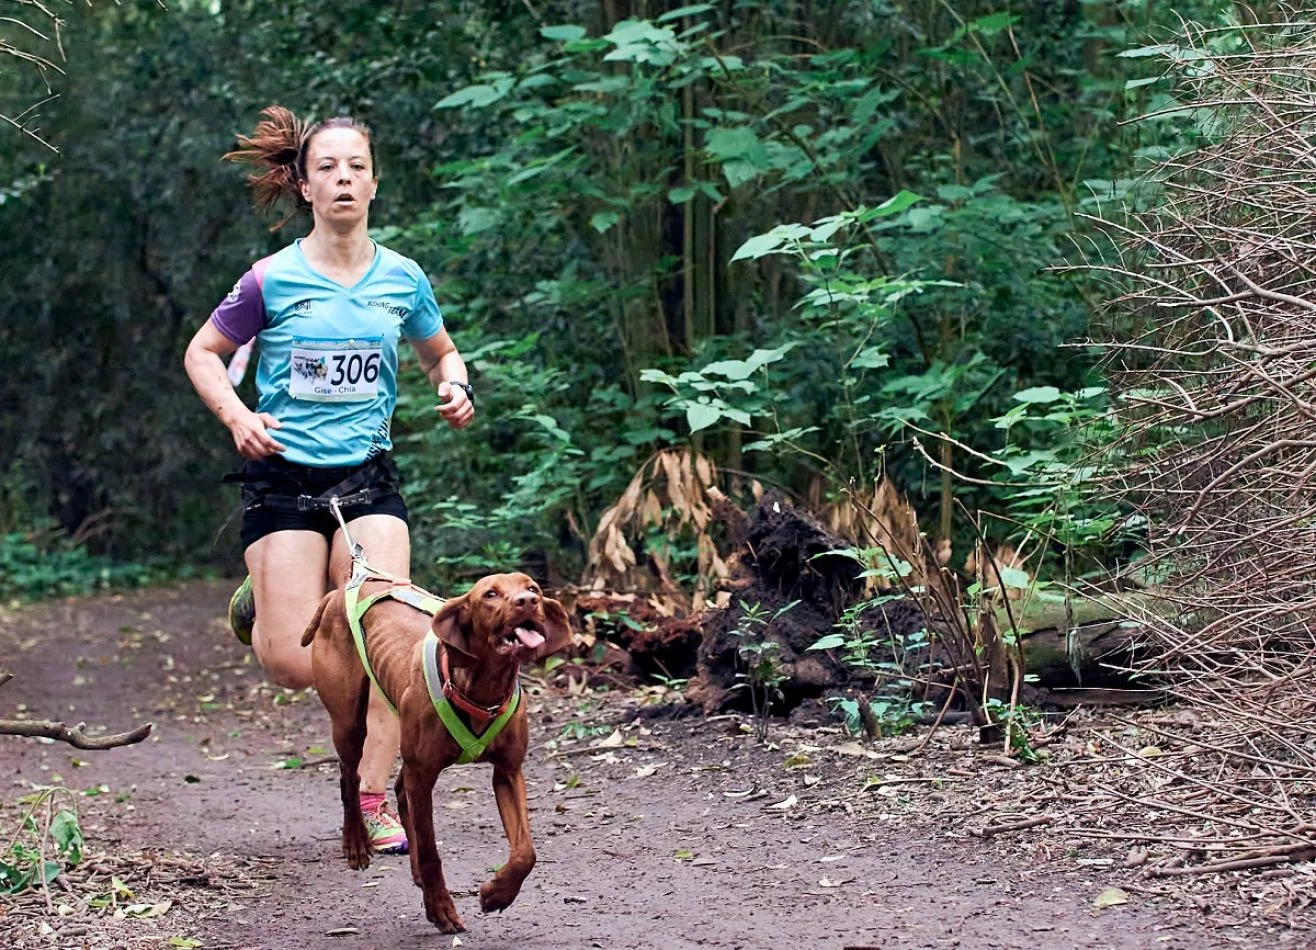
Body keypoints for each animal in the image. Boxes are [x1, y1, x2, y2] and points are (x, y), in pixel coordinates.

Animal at [302, 573, 571, 926]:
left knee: (398, 790)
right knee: (350, 777)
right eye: (490, 594)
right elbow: (431, 849)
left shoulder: (508, 772)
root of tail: (339, 591)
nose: (528, 602)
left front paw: (497, 893)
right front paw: (440, 907)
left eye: (533, 588)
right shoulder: (423, 775)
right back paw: (356, 843)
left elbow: (527, 852)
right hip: (349, 721)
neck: (482, 689)